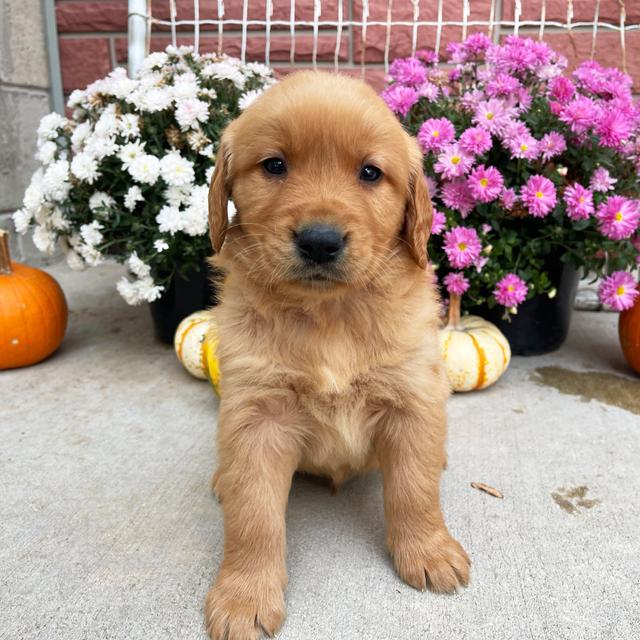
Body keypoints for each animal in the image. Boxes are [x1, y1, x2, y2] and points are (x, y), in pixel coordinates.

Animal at [205, 70, 470, 640]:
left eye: (370, 173)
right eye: (274, 165)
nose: (320, 241)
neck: (329, 316)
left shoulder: (411, 399)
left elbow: (414, 489)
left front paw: (429, 552)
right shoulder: (256, 418)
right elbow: (253, 516)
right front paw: (244, 596)